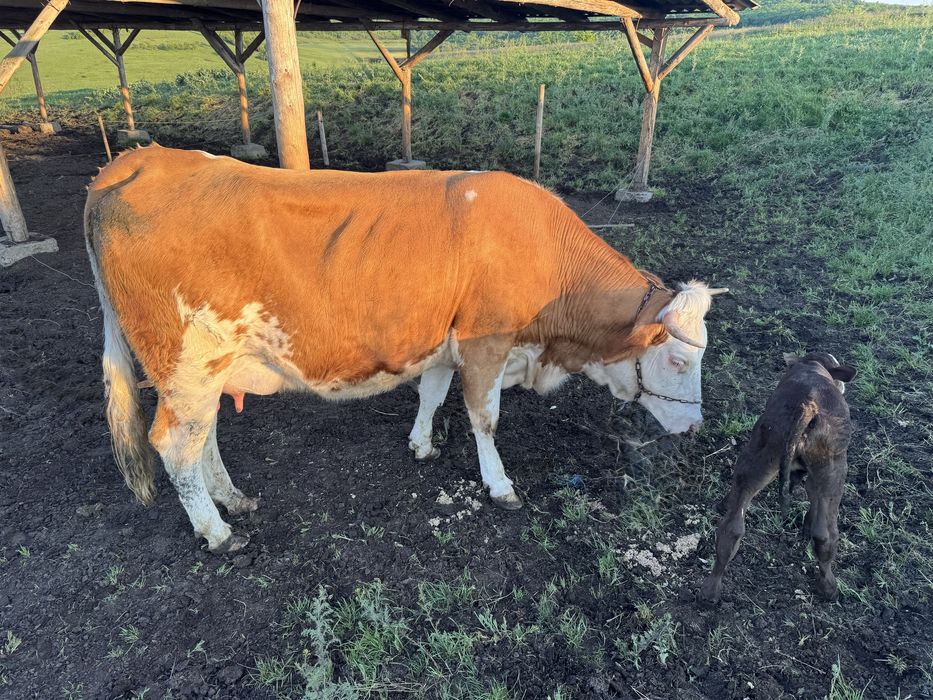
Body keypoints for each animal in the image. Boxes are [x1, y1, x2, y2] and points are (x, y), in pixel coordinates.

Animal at [84, 145, 726, 553]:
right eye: (677, 359)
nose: (696, 428)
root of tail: (137, 159)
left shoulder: (442, 341)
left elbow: (432, 394)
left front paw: (420, 444)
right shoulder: (488, 342)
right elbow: (485, 418)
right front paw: (499, 485)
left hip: (207, 367)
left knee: (204, 434)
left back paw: (232, 500)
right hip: (188, 359)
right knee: (175, 443)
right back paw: (216, 531)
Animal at [699, 352, 856, 603]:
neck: (813, 366)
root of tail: (808, 406)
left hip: (761, 461)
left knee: (732, 528)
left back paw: (710, 591)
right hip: (832, 471)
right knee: (826, 535)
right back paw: (829, 588)